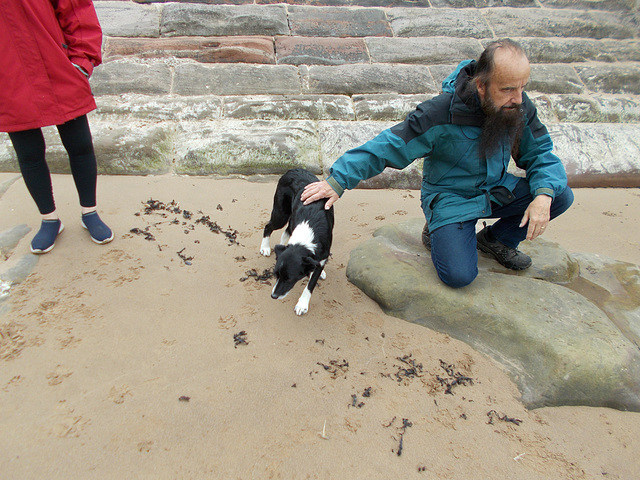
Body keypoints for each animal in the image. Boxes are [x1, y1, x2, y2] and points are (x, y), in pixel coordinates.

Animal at [260, 168, 336, 316]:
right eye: (276, 274)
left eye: (289, 278)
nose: (273, 296)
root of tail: (293, 169)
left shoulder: (322, 256)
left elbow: (310, 284)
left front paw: (302, 305)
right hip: (281, 213)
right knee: (268, 226)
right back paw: (265, 247)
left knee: (284, 231)